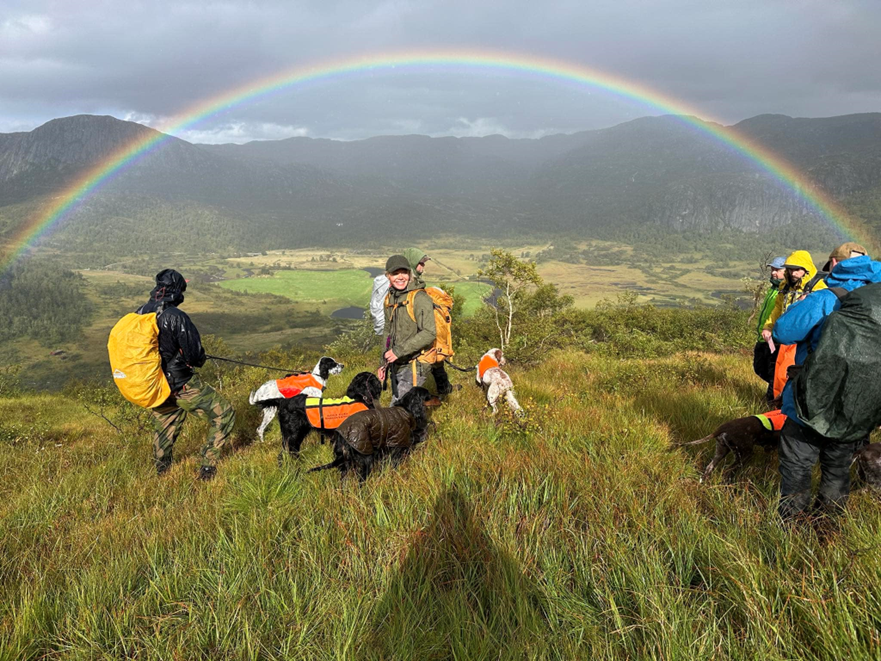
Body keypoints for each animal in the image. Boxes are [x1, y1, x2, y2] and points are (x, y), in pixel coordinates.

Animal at [310, 386, 440, 480]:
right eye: (428, 396)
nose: (439, 397)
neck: (406, 409)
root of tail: (342, 437)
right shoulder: (396, 448)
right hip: (366, 459)